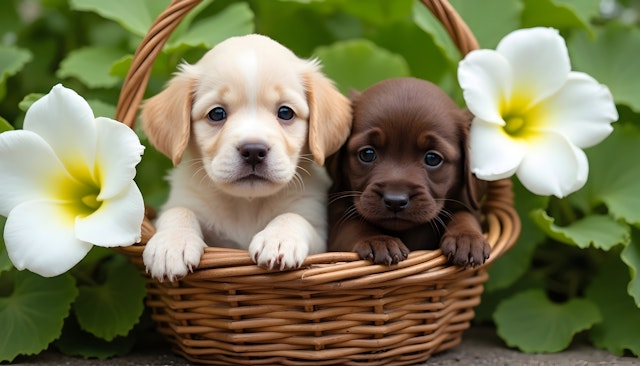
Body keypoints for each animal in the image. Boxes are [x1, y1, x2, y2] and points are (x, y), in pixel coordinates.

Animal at [141, 33, 350, 280]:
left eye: (285, 112)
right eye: (217, 113)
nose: (253, 151)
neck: (246, 205)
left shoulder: (318, 229)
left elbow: (294, 217)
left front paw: (278, 239)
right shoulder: (185, 201)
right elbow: (178, 211)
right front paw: (171, 245)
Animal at [330, 76, 490, 266]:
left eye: (432, 158)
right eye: (367, 154)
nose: (395, 201)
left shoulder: (466, 203)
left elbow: (464, 215)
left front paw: (467, 237)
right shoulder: (337, 218)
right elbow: (353, 226)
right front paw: (378, 240)